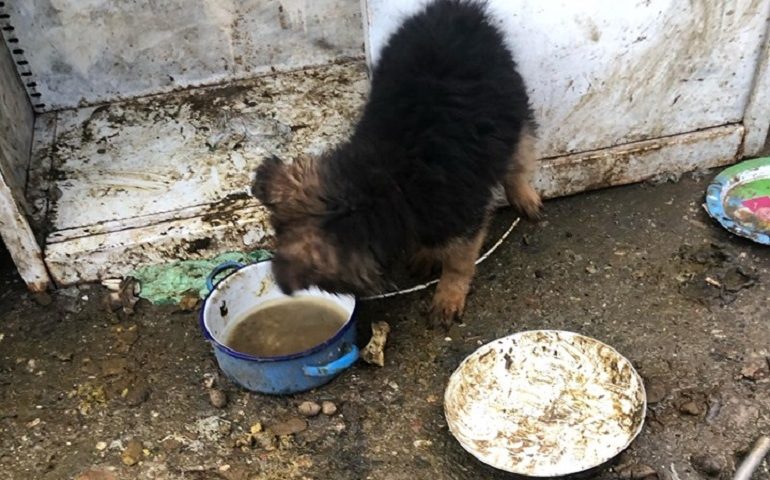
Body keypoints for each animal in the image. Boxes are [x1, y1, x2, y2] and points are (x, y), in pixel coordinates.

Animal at [254, 0, 540, 326]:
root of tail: (453, 10)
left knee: (520, 153)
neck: (379, 182)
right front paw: (427, 255)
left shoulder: (463, 215)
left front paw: (448, 295)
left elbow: (458, 260)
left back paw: (524, 195)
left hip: (511, 102)